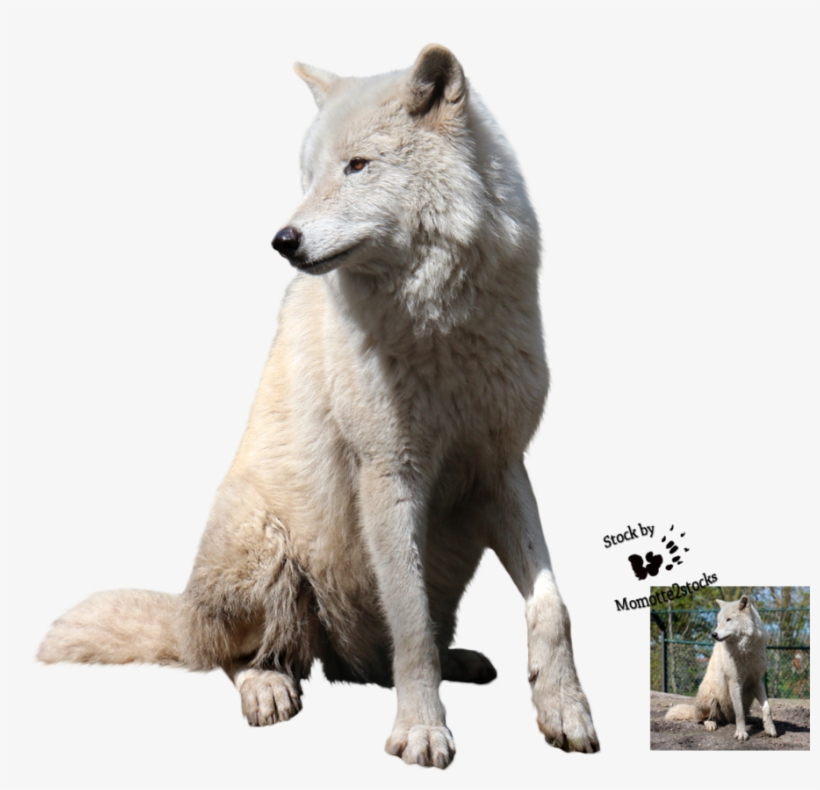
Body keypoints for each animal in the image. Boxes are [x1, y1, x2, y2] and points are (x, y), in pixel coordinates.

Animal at [38, 44, 599, 767]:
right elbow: (410, 622)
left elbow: (550, 606)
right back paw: (268, 687)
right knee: (240, 656)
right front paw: (421, 731)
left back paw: (458, 660)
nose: (283, 239)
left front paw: (566, 711)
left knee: (374, 659)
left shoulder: (500, 469)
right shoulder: (388, 474)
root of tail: (184, 613)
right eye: (307, 175)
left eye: (357, 166)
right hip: (263, 545)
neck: (441, 326)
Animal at [665, 596, 777, 741]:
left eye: (728, 620)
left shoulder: (756, 681)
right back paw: (711, 723)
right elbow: (739, 713)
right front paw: (741, 733)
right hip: (710, 695)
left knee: (737, 716)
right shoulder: (735, 682)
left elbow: (767, 708)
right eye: (718, 622)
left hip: (747, 699)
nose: (713, 634)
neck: (745, 651)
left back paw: (751, 719)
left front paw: (770, 729)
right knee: (703, 719)